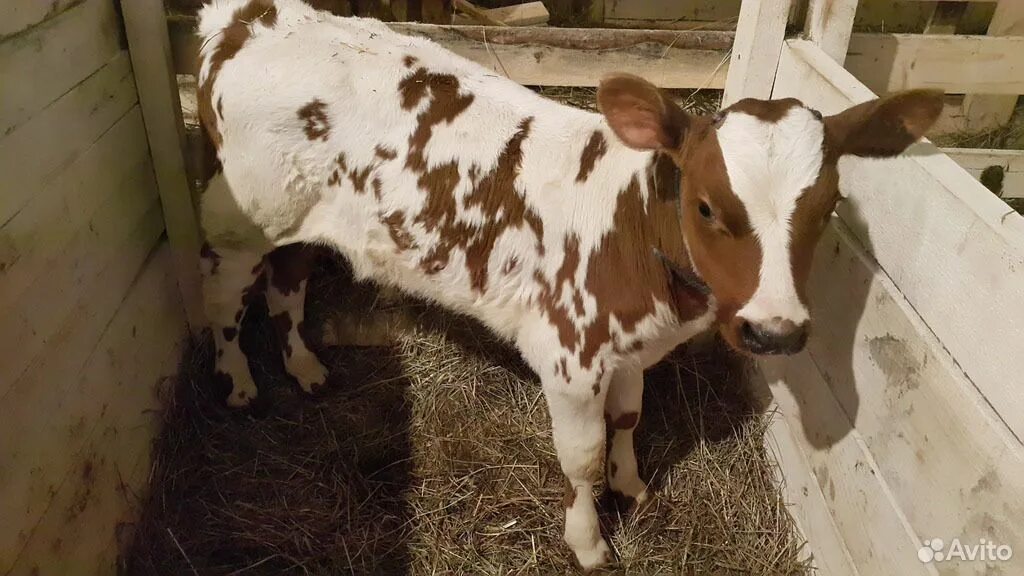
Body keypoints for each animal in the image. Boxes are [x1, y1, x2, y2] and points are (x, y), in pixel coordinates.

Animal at [195, 0, 937, 565]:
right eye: (705, 206)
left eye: (828, 205)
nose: (774, 330)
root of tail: (248, 16)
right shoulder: (569, 355)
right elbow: (580, 459)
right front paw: (588, 541)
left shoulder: (631, 349)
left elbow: (630, 419)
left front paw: (632, 485)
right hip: (241, 218)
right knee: (226, 295)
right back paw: (239, 382)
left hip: (298, 218)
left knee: (287, 281)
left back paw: (304, 367)